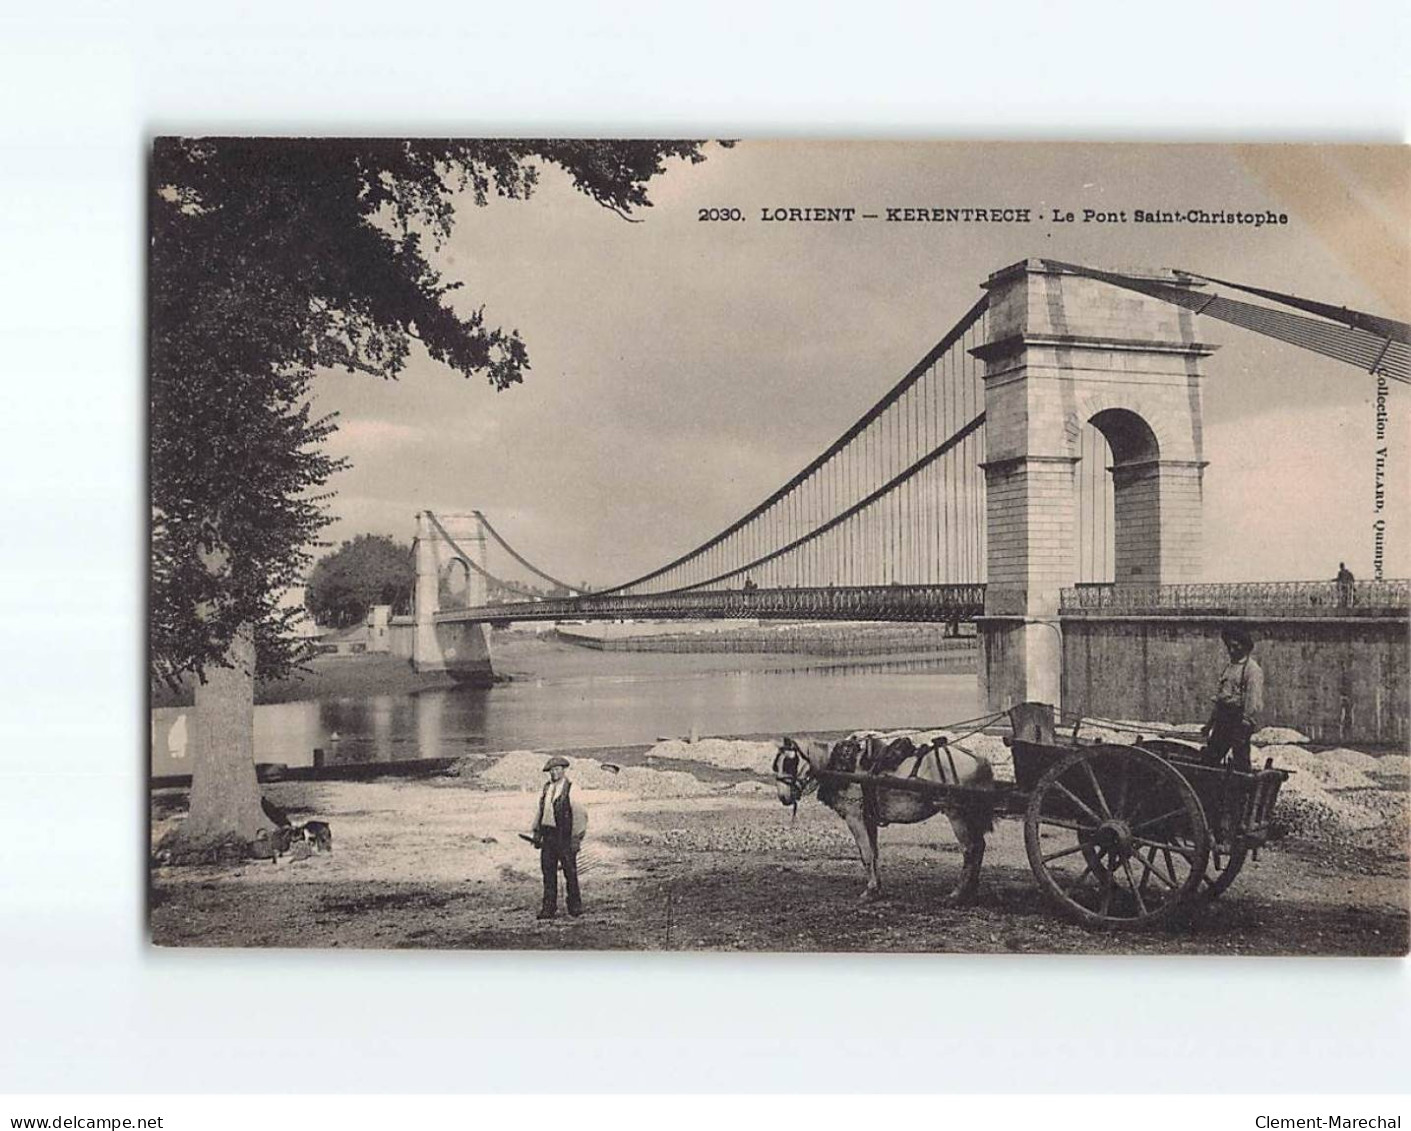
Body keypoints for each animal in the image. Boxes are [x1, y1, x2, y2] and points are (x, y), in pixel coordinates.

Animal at [778, 727, 998, 902]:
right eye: (776, 764)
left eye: (789, 762)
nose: (783, 797)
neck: (841, 766)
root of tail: (977, 758)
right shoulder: (869, 819)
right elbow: (874, 854)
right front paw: (877, 889)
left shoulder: (855, 818)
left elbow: (865, 854)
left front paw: (870, 891)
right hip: (970, 815)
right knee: (979, 847)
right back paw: (971, 891)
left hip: (957, 814)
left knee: (970, 849)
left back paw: (958, 894)